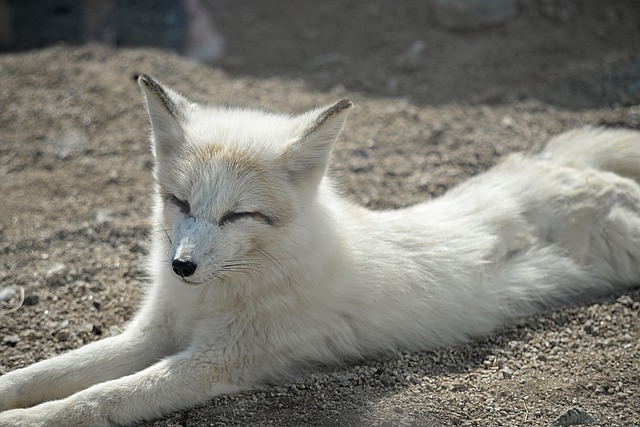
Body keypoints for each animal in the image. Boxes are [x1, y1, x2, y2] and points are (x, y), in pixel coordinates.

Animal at [1, 75, 640, 426]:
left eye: (238, 215)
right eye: (179, 202)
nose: (181, 266)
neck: (209, 301)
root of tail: (559, 166)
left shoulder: (216, 362)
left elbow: (94, 399)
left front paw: (27, 420)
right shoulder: (151, 336)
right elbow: (47, 373)